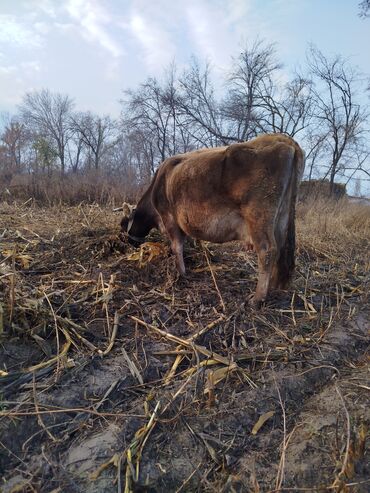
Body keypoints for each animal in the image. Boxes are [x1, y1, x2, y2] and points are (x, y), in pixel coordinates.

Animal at [120, 133, 304, 306]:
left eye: (123, 224)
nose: (130, 243)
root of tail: (282, 138)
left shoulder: (169, 218)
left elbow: (176, 246)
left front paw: (181, 273)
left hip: (259, 215)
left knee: (267, 250)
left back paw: (257, 298)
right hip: (281, 216)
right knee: (280, 248)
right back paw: (272, 286)